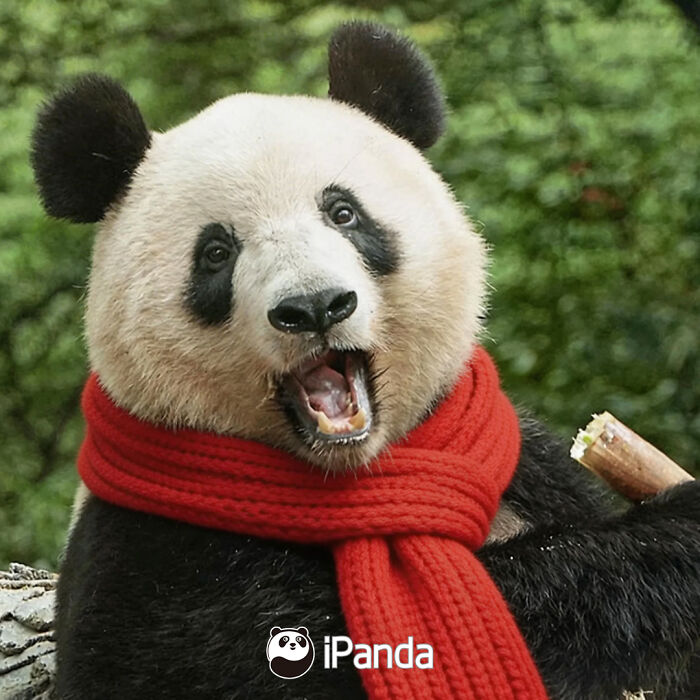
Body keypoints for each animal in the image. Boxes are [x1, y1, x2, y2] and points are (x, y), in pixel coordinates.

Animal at [30, 20, 699, 700]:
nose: (314, 306)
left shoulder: (530, 472)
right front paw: (678, 530)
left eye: (343, 213)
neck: (358, 474)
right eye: (216, 252)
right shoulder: (150, 554)